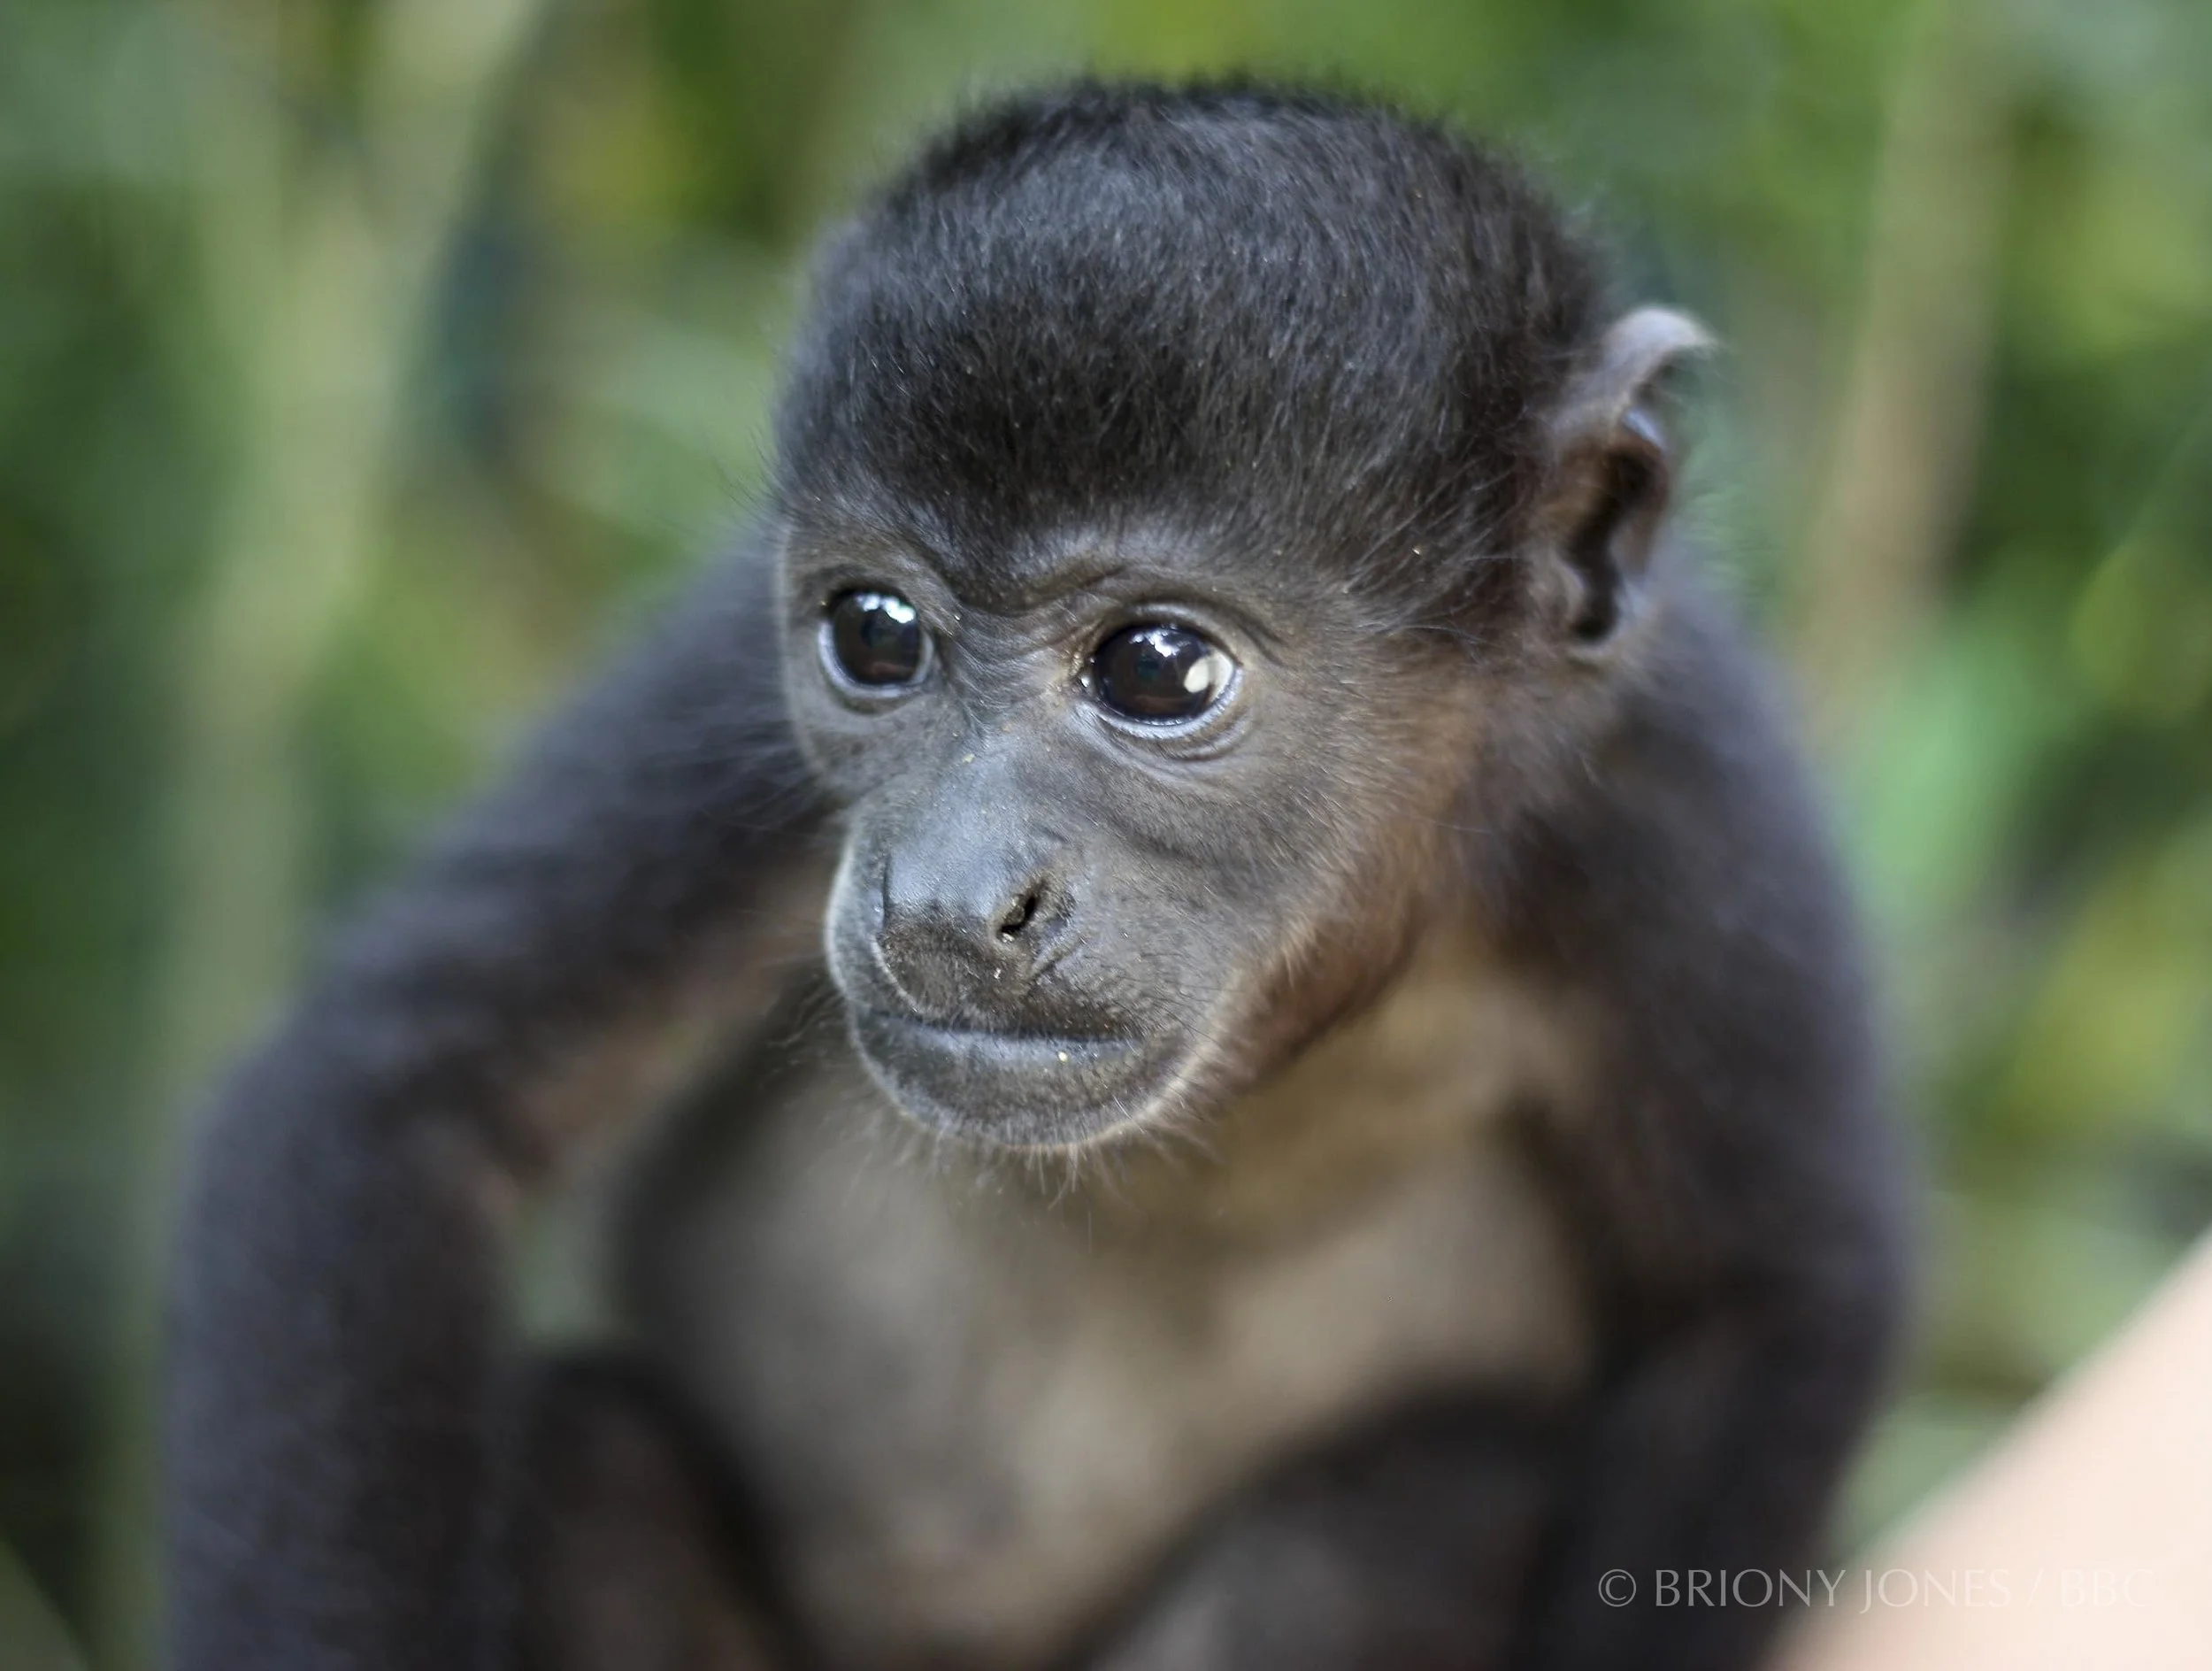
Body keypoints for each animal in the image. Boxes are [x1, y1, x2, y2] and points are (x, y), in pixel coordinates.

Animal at [165, 80, 1909, 1671]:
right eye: (874, 634)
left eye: (1157, 667)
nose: (950, 894)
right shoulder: (725, 680)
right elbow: (400, 1092)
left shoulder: (1685, 815)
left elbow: (1760, 1309)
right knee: (590, 1455)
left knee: (1414, 1514)